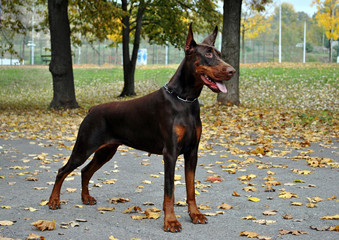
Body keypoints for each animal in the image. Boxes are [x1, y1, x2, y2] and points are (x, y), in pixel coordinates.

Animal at [47, 23, 235, 232]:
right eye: (208, 54)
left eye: (219, 54)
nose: (232, 71)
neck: (184, 100)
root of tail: (93, 109)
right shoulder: (170, 152)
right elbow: (169, 191)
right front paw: (171, 221)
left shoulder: (192, 151)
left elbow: (191, 188)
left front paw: (195, 214)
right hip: (84, 147)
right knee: (63, 170)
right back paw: (53, 201)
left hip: (106, 151)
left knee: (85, 171)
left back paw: (86, 198)